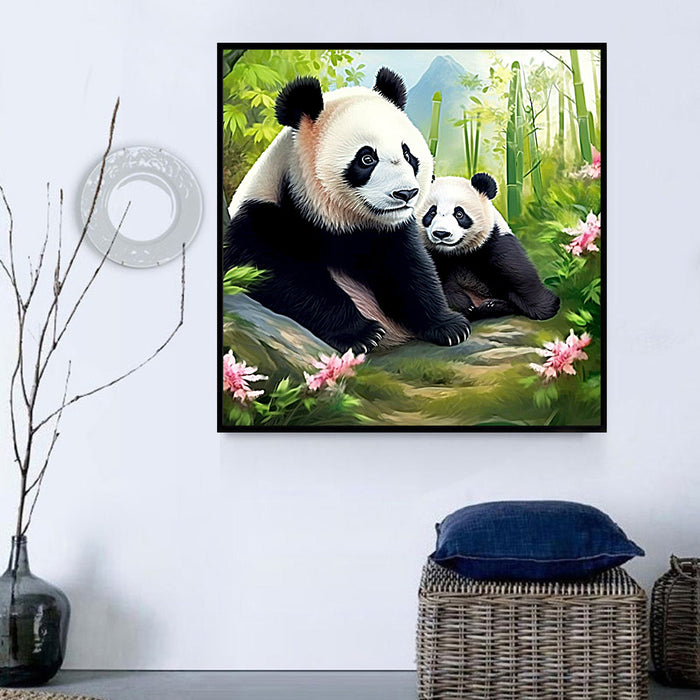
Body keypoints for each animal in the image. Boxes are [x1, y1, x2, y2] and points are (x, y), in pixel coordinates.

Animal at [224, 68, 471, 354]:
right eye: (367, 158)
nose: (406, 194)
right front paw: (363, 334)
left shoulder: (386, 232)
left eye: (408, 155)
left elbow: (411, 270)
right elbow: (285, 278)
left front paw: (449, 325)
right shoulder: (261, 220)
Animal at [417, 174, 560, 322]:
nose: (441, 233)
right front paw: (462, 306)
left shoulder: (494, 241)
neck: (455, 253)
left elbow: (518, 273)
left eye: (459, 214)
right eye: (432, 212)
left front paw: (545, 307)